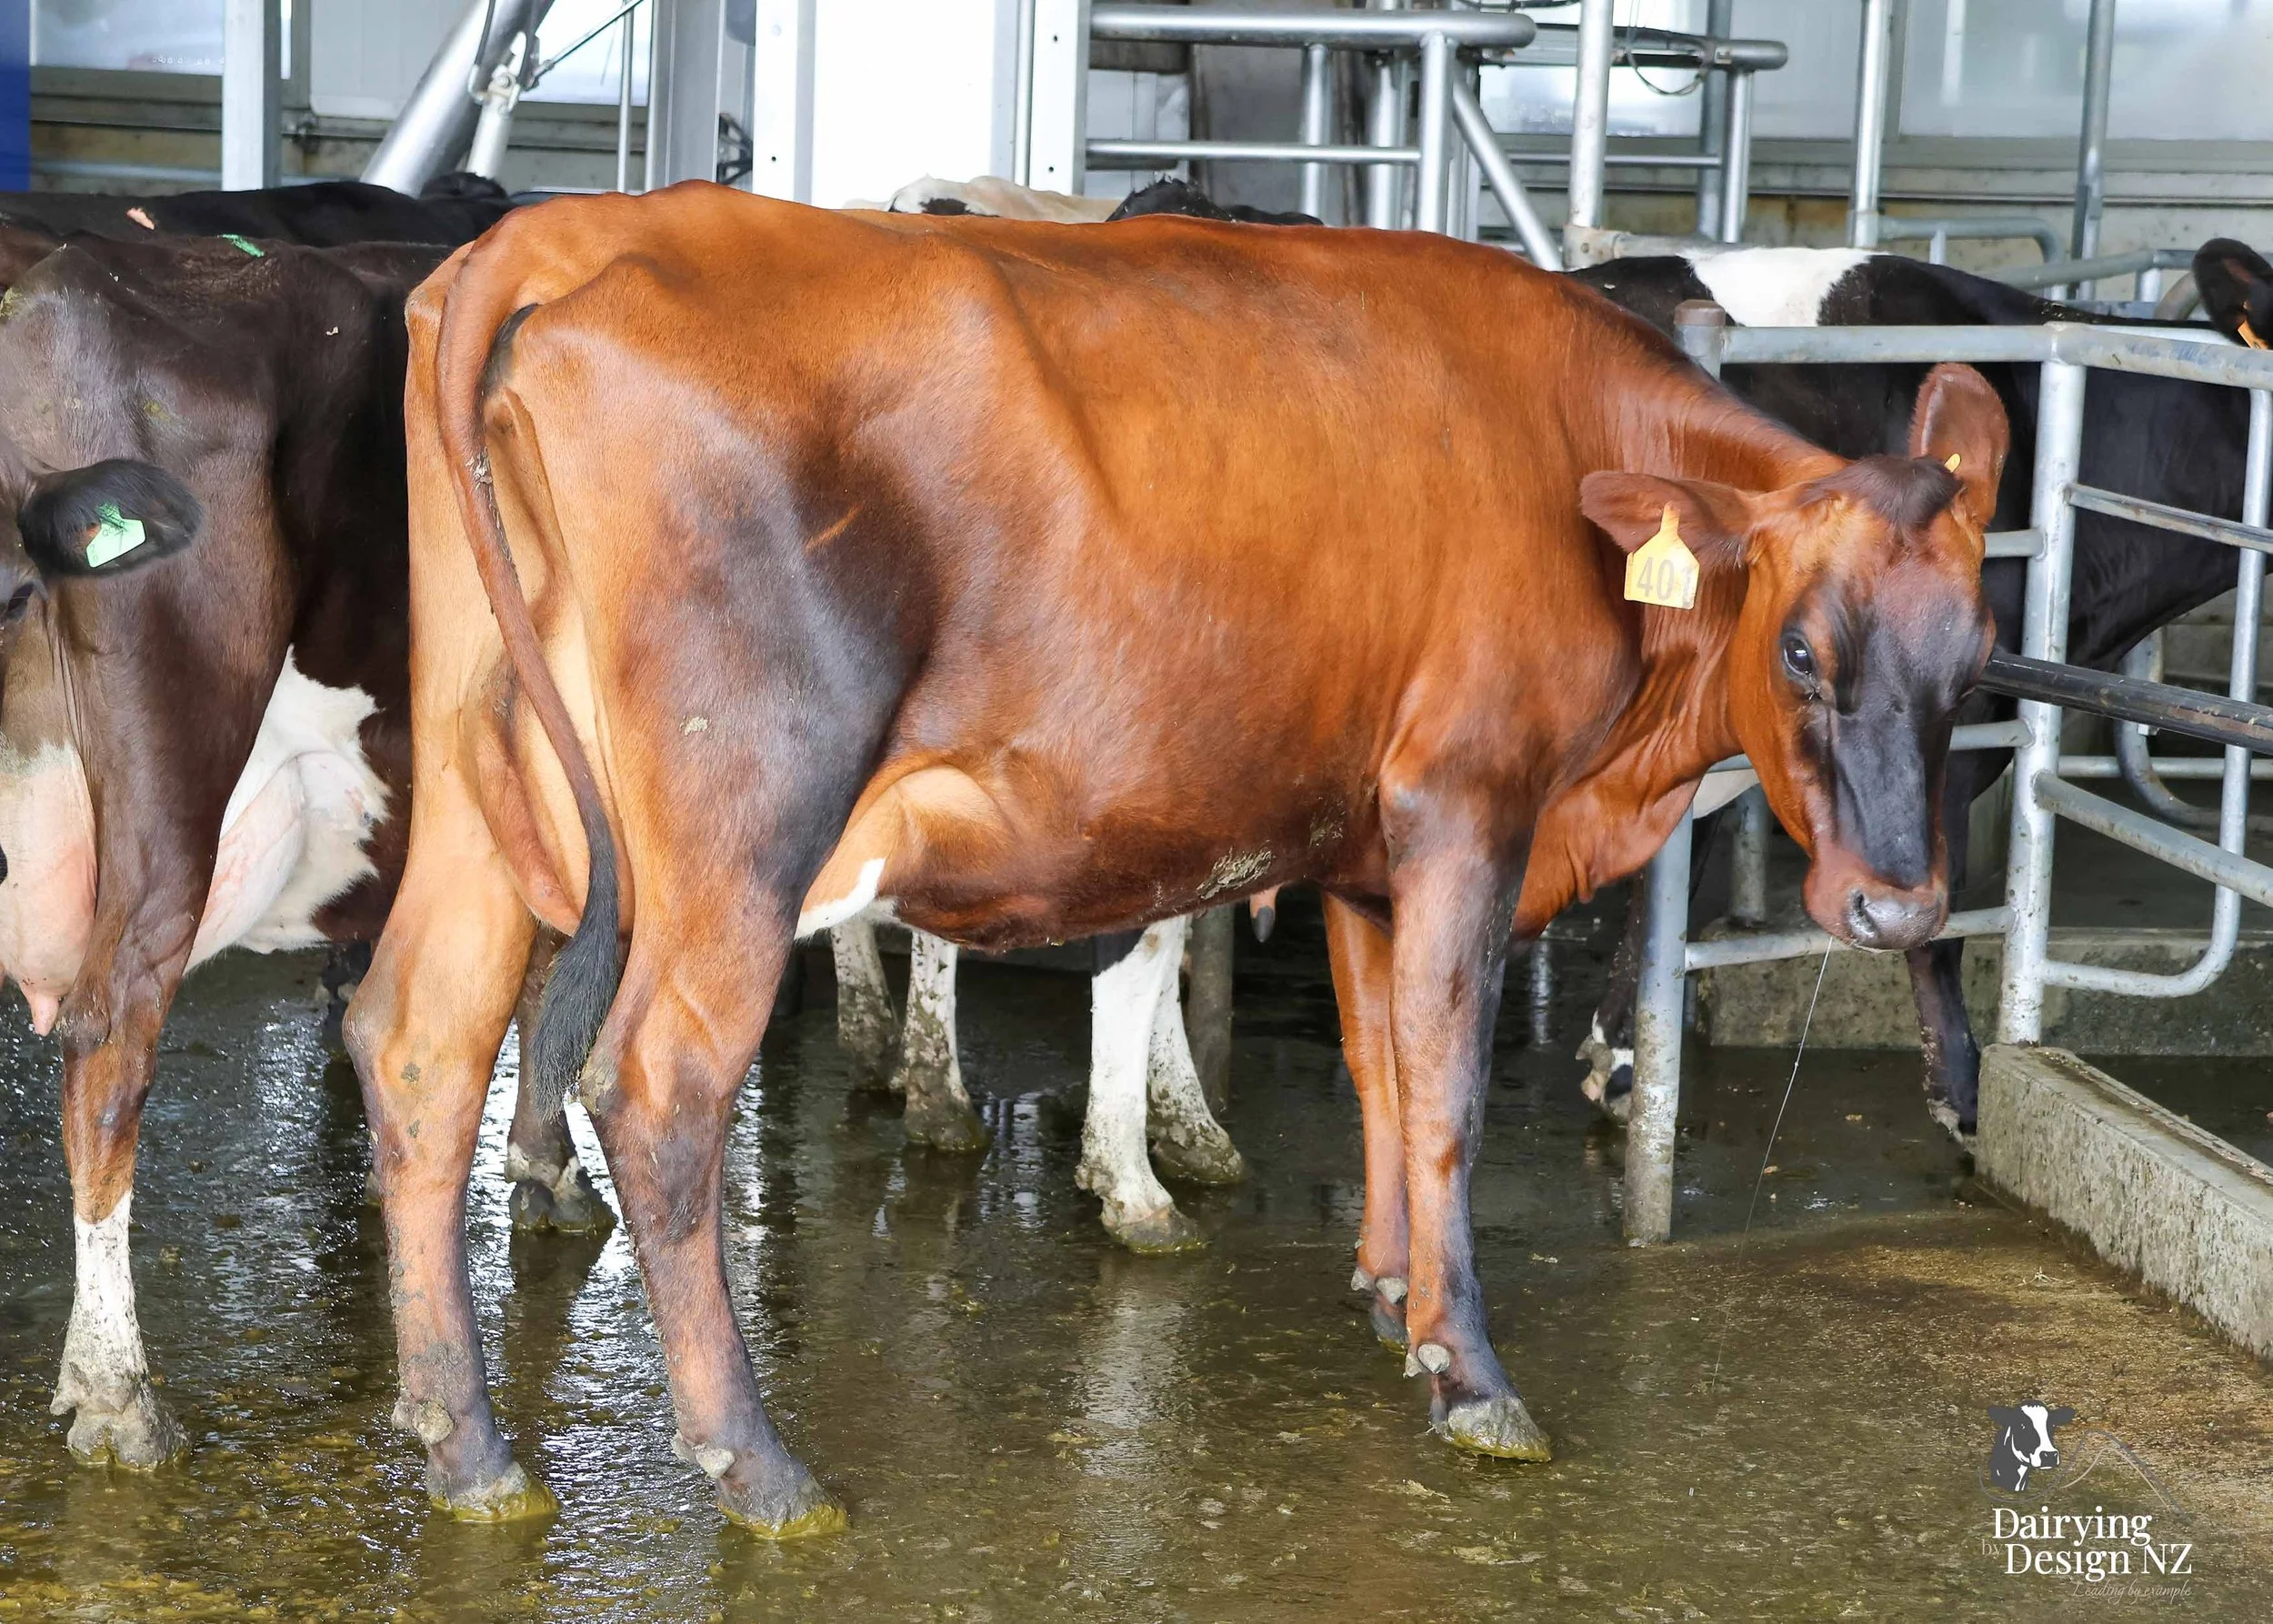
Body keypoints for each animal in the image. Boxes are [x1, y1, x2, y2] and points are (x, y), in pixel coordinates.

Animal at [346, 182, 2003, 1531]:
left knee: (424, 1038)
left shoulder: (1364, 845)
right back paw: (756, 1465)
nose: (1898, 899)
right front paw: (1470, 1372)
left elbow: (1380, 1061)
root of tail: (568, 235)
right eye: (1802, 647)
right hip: (742, 823)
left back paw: (465, 1445)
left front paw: (1391, 1288)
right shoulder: (1467, 804)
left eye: (1979, 654)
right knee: (661, 1086)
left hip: (480, 790)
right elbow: (1448, 1088)